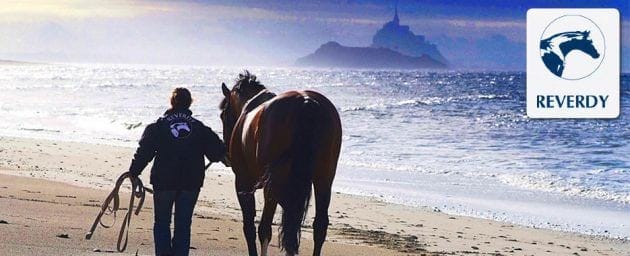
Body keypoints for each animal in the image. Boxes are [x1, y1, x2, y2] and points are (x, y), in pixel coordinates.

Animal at [218, 70, 346, 256]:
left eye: (223, 115)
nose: (226, 155)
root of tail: (305, 102)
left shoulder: (242, 183)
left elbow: (249, 227)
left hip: (273, 184)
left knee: (266, 228)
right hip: (324, 177)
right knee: (317, 225)